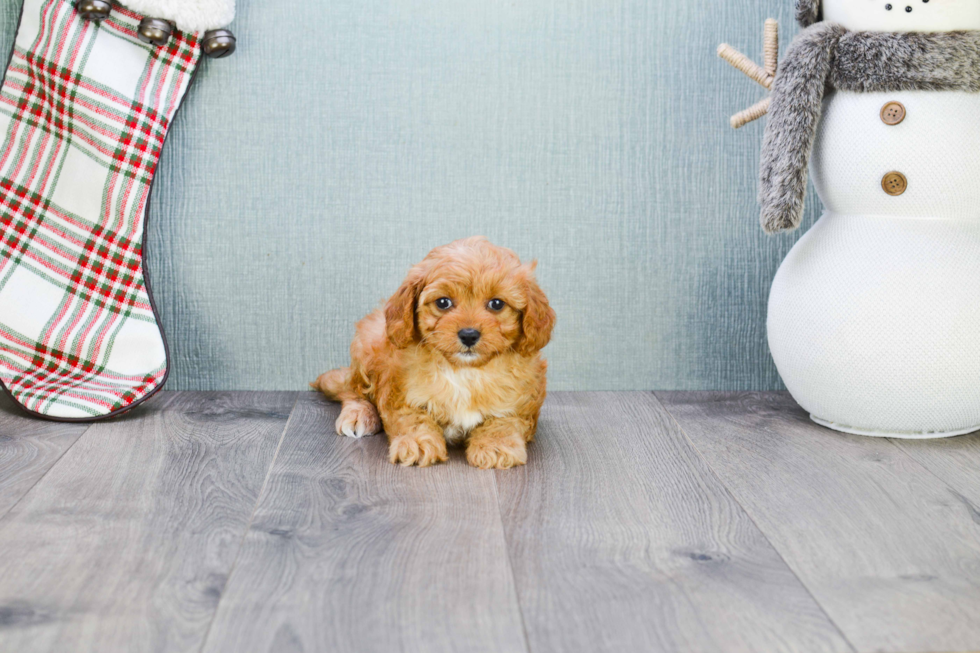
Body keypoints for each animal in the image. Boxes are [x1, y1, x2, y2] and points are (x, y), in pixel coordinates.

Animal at [314, 237, 560, 466]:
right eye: (443, 302)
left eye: (497, 304)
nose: (469, 335)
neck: (465, 372)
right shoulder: (399, 393)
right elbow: (412, 418)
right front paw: (417, 442)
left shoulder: (522, 403)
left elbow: (505, 420)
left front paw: (496, 445)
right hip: (366, 344)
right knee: (352, 390)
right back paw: (359, 415)